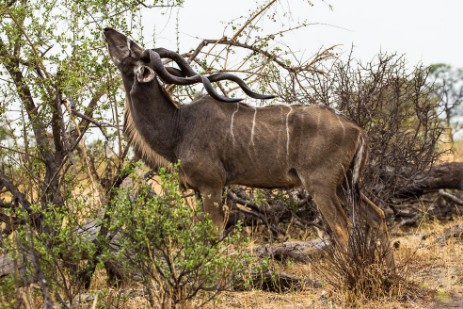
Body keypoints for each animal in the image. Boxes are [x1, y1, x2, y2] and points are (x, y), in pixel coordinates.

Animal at [103, 28, 394, 264]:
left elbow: (213, 235)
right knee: (378, 215)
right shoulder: (199, 190)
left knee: (343, 228)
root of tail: (358, 130)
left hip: (321, 185)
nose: (108, 31)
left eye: (132, 49)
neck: (178, 126)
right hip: (345, 185)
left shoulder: (212, 186)